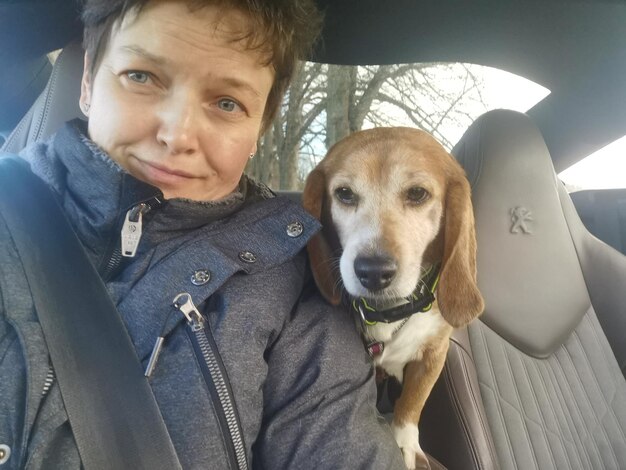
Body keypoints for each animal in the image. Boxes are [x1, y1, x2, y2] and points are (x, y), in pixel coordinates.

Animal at [302, 126, 482, 468]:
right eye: (344, 194)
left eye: (417, 193)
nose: (373, 271)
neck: (389, 311)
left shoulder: (434, 354)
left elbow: (412, 403)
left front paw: (405, 444)